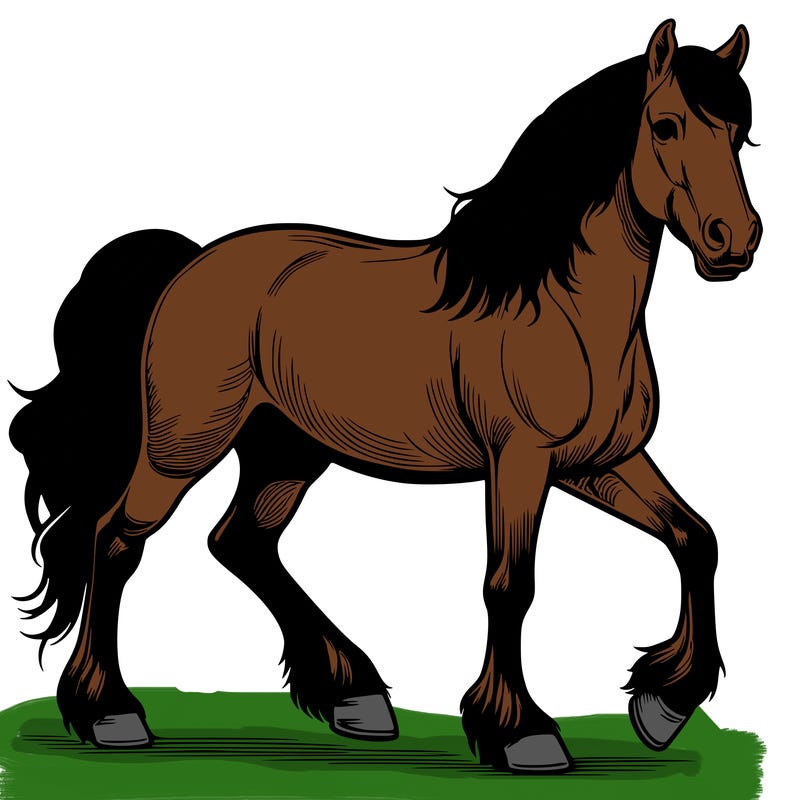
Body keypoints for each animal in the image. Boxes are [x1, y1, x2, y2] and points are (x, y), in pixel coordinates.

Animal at [10, 19, 760, 773]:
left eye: (740, 133)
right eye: (665, 125)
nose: (736, 240)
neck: (557, 306)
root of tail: (189, 264)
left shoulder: (599, 463)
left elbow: (696, 538)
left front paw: (662, 705)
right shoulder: (520, 462)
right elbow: (509, 584)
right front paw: (521, 733)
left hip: (286, 452)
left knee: (241, 541)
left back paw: (354, 696)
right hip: (182, 447)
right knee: (115, 540)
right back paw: (111, 714)